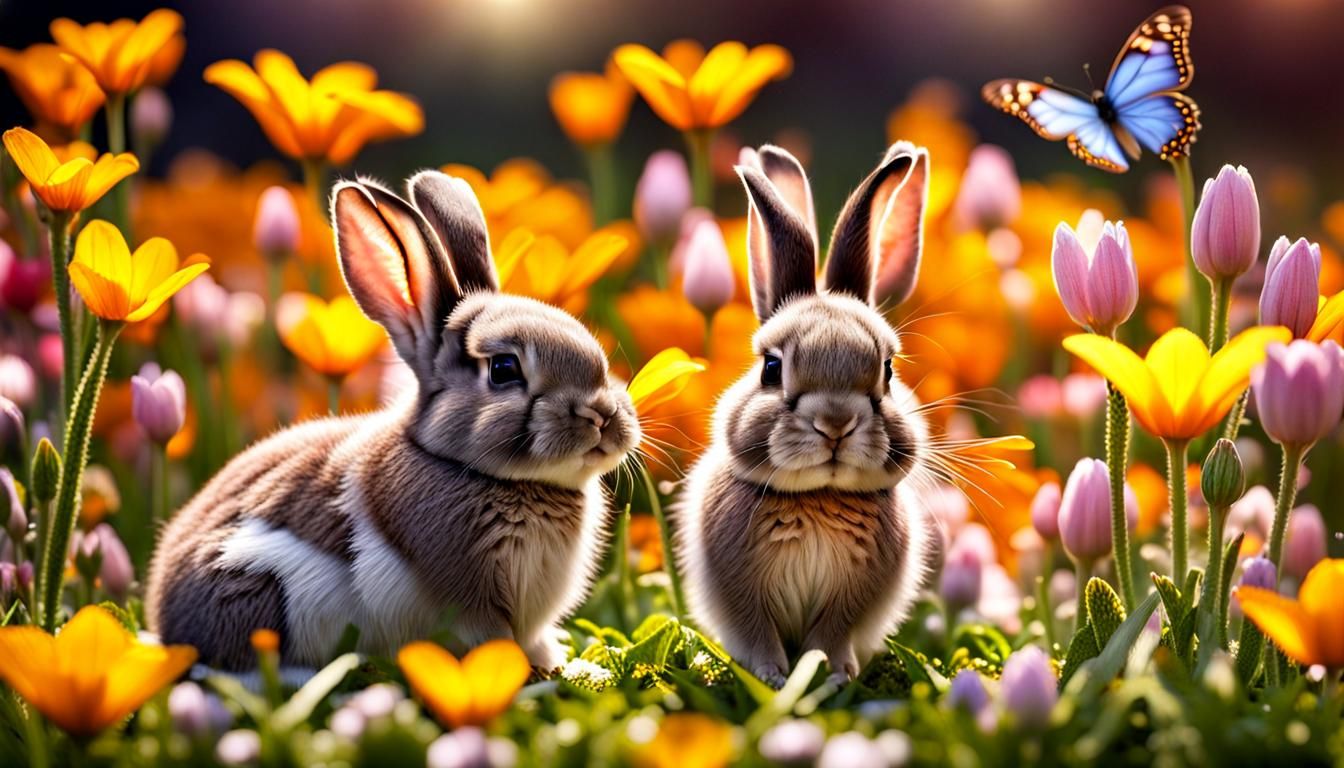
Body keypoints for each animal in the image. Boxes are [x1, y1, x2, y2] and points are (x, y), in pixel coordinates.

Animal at [145, 170, 640, 673]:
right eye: (503, 369)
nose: (602, 415)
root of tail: (163, 609)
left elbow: (535, 640)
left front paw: (562, 663)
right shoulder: (471, 602)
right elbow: (493, 640)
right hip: (255, 592)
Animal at [676, 143, 940, 687]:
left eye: (888, 369)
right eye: (771, 368)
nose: (835, 424)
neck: (817, 497)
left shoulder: (851, 602)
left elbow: (830, 634)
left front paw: (832, 675)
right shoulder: (741, 593)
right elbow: (758, 634)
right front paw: (774, 678)